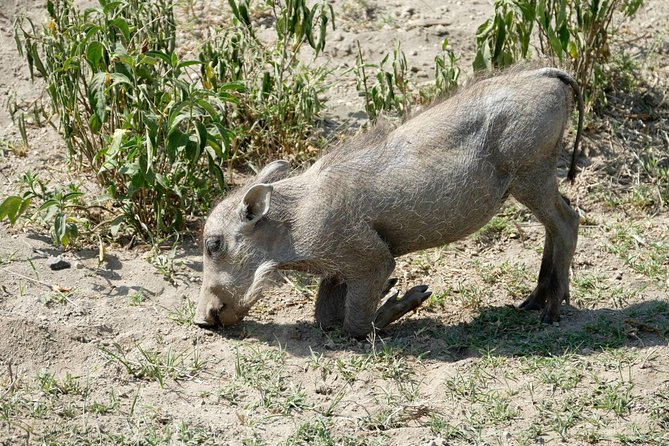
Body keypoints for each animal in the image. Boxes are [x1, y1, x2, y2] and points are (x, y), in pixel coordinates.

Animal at [194, 67, 583, 338]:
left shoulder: (371, 258)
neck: (292, 221)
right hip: (536, 178)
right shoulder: (338, 268)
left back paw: (551, 310)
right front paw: (389, 293)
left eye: (214, 244)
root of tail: (543, 73)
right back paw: (532, 302)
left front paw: (407, 297)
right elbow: (324, 316)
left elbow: (355, 324)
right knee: (555, 224)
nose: (201, 321)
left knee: (567, 221)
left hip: (531, 175)